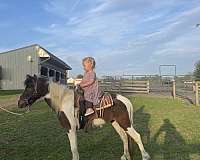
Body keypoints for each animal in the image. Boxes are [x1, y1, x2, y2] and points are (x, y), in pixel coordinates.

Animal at [18, 75, 150, 160]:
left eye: (30, 87)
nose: (20, 103)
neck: (63, 101)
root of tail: (125, 100)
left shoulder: (70, 129)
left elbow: (74, 150)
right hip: (116, 123)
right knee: (124, 137)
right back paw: (125, 156)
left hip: (125, 123)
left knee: (137, 136)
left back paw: (145, 156)